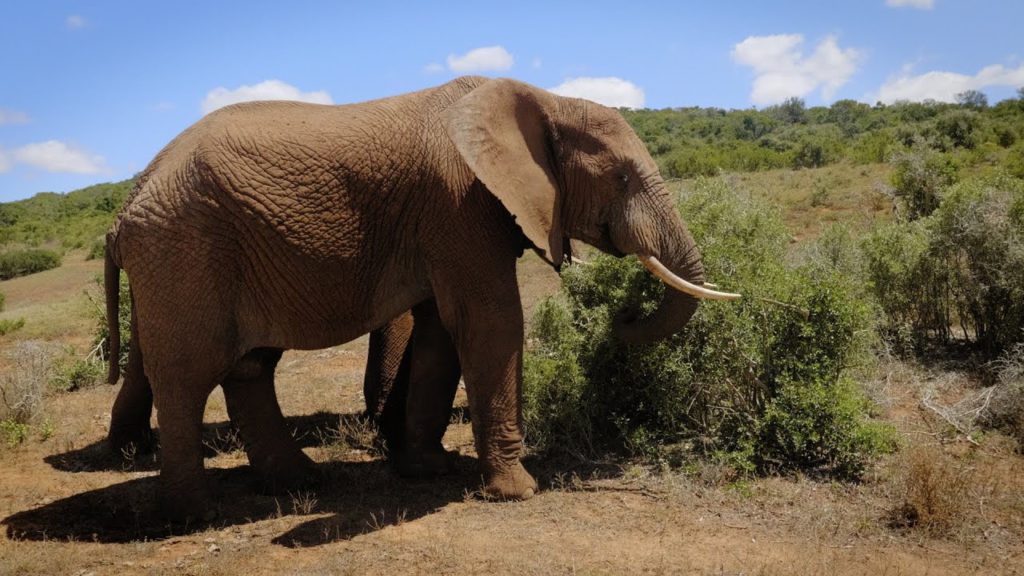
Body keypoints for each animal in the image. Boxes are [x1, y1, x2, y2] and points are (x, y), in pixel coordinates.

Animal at [103, 75, 738, 521]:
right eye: (623, 178)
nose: (624, 313)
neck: (542, 100)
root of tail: (125, 208)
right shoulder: (459, 203)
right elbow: (489, 322)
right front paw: (518, 492)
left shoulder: (445, 220)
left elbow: (441, 331)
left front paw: (430, 469)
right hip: (183, 252)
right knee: (187, 376)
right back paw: (195, 513)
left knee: (249, 368)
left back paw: (300, 482)